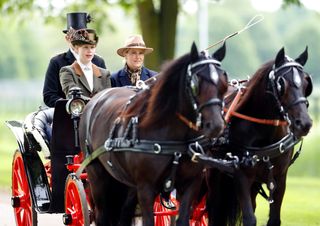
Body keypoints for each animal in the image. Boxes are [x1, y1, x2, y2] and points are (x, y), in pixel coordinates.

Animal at [79, 42, 230, 226]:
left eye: (224, 82)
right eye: (195, 83)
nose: (216, 125)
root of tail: (95, 100)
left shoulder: (190, 184)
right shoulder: (146, 187)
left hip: (127, 183)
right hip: (97, 175)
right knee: (102, 215)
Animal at [206, 46, 314, 225]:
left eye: (306, 84)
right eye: (281, 84)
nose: (304, 123)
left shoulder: (280, 177)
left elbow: (274, 219)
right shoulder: (241, 176)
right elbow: (250, 219)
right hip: (213, 173)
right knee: (214, 211)